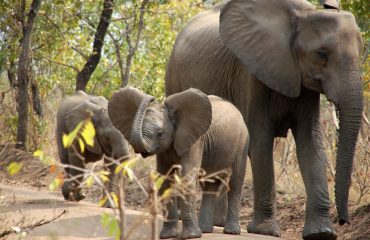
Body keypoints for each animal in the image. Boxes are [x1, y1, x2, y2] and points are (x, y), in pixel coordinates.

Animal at [108, 86, 250, 238]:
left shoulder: (195, 140)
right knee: (209, 184)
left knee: (235, 182)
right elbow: (165, 180)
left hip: (242, 144)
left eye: (160, 133)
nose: (151, 98)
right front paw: (168, 235)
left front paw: (191, 236)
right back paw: (205, 229)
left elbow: (187, 177)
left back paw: (231, 231)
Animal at [165, 0, 364, 240]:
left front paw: (322, 233)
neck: (303, 14)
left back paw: (218, 223)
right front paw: (266, 230)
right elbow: (260, 143)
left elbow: (311, 145)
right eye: (322, 54)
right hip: (172, 77)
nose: (344, 221)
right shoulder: (251, 74)